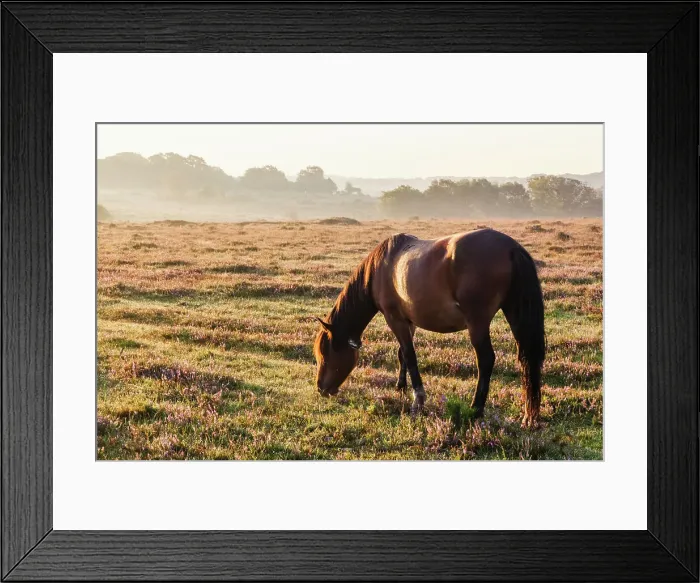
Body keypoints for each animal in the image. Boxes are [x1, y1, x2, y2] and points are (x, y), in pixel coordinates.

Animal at [313, 228, 546, 428]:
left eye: (326, 354)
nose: (321, 388)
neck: (380, 268)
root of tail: (511, 247)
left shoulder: (395, 319)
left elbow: (410, 355)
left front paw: (418, 399)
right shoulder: (409, 322)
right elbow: (402, 355)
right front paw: (401, 387)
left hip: (477, 323)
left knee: (486, 359)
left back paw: (476, 408)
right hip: (515, 314)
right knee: (527, 360)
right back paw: (528, 415)